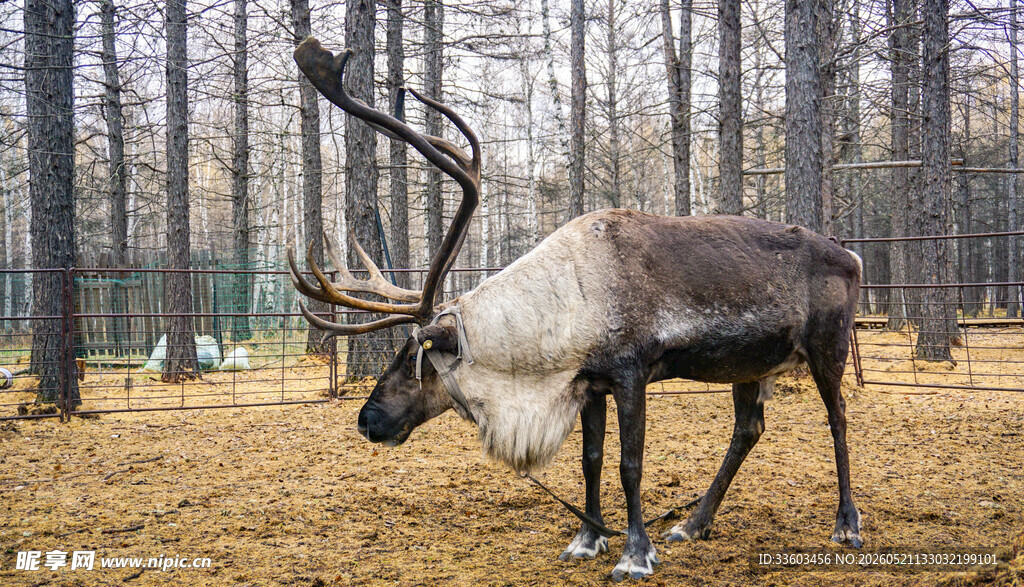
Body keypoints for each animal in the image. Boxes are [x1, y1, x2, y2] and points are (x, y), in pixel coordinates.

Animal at [289, 38, 864, 581]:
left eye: (417, 359)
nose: (366, 420)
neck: (561, 314)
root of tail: (851, 254)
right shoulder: (588, 382)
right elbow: (591, 461)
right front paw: (587, 540)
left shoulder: (631, 371)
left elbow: (630, 464)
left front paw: (635, 554)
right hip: (748, 363)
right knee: (748, 430)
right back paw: (692, 524)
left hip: (827, 345)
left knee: (838, 419)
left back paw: (846, 525)